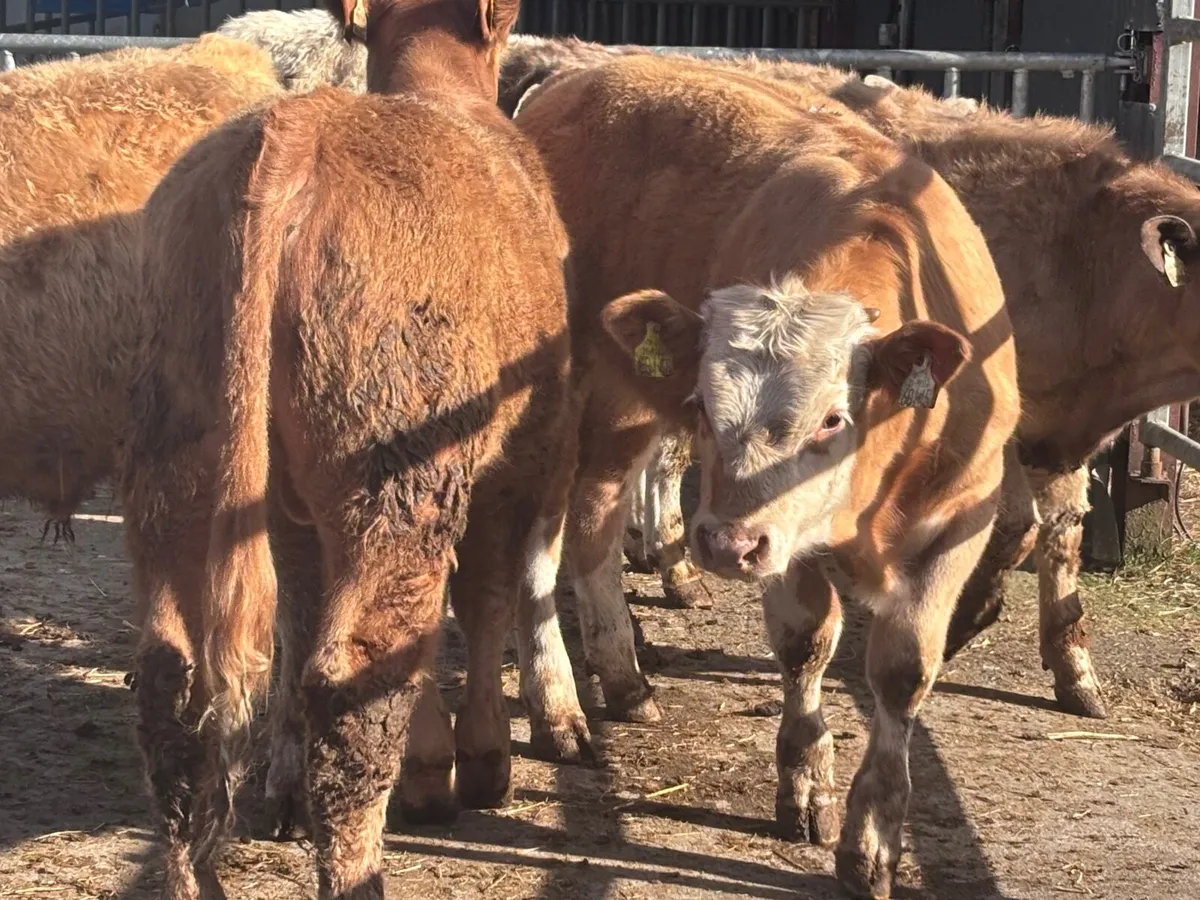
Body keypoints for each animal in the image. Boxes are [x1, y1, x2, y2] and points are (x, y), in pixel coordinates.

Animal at [120, 0, 581, 895]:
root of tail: (300, 130)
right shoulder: (516, 462)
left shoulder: (296, 511)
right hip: (398, 478)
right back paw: (363, 867)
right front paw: (473, 764)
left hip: (184, 457)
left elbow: (303, 614)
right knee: (361, 667)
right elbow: (483, 598)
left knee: (177, 679)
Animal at [513, 55, 1020, 898]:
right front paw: (809, 780)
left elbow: (903, 670)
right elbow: (806, 642)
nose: (724, 545)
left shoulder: (959, 519)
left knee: (595, 520)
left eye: (831, 419)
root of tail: (578, 77)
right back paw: (557, 706)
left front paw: (874, 835)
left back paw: (622, 677)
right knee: (535, 543)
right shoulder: (781, 537)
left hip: (625, 410)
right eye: (703, 405)